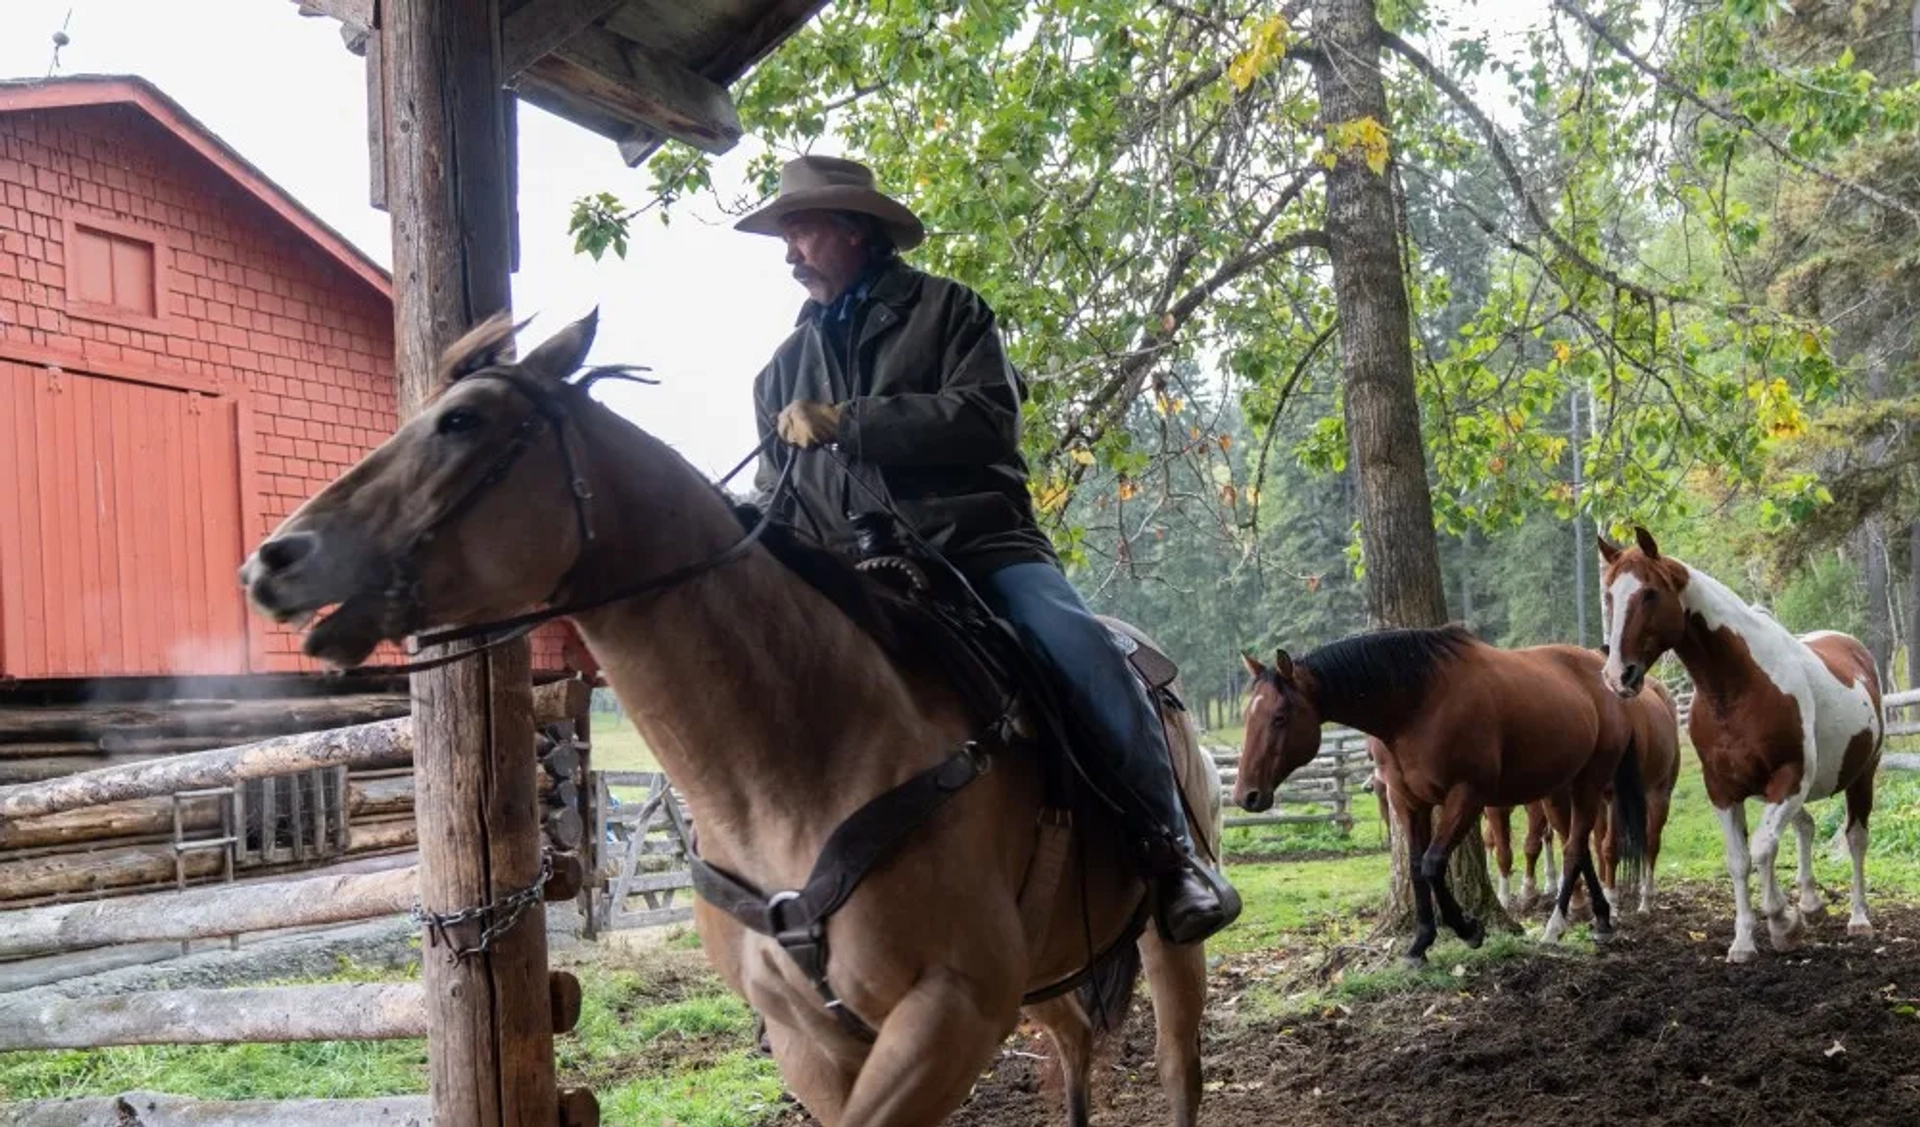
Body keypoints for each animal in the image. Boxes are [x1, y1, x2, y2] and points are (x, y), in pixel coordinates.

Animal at [236, 311, 1213, 1127]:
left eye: (462, 422)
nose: (272, 559)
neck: (798, 761)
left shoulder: (951, 1009)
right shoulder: (820, 1040)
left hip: (1162, 946)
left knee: (1177, 1068)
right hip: (1048, 966)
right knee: (1075, 1047)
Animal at [1244, 629, 1651, 967]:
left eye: (1279, 717)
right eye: (1249, 716)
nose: (1246, 795)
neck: (1417, 706)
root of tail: (1600, 671)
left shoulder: (1466, 797)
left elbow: (1432, 863)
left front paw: (1468, 930)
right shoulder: (1409, 803)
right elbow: (1414, 866)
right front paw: (1420, 943)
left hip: (1589, 782)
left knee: (1573, 848)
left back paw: (1555, 927)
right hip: (1560, 788)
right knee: (1577, 848)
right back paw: (1601, 918)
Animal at [1597, 529, 1881, 959]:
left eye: (1649, 593)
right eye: (1609, 595)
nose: (1618, 675)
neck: (1738, 687)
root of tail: (1854, 649)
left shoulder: (1789, 778)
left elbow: (1762, 849)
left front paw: (1783, 923)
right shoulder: (1723, 790)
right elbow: (1739, 860)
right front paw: (1745, 941)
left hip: (1862, 777)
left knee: (1856, 839)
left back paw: (1858, 918)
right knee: (1805, 827)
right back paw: (1810, 902)